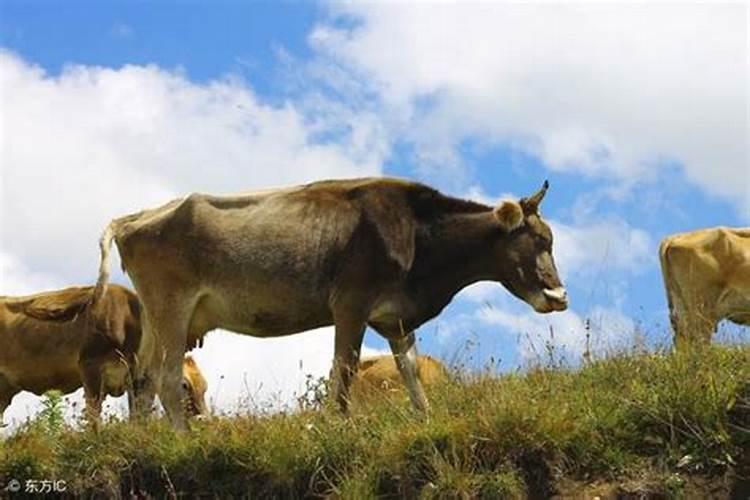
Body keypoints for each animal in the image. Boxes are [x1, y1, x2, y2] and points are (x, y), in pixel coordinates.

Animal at [0, 286, 209, 426]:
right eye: (184, 384)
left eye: (205, 386)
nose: (204, 420)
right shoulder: (90, 366)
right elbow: (94, 412)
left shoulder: (137, 379)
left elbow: (138, 416)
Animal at [94, 177, 568, 430]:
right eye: (536, 241)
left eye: (550, 240)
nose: (559, 296)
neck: (417, 234)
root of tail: (137, 217)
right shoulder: (351, 305)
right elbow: (344, 371)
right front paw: (337, 426)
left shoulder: (395, 318)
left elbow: (411, 371)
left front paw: (426, 419)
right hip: (171, 306)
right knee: (167, 378)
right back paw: (182, 436)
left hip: (157, 318)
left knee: (142, 380)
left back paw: (144, 439)